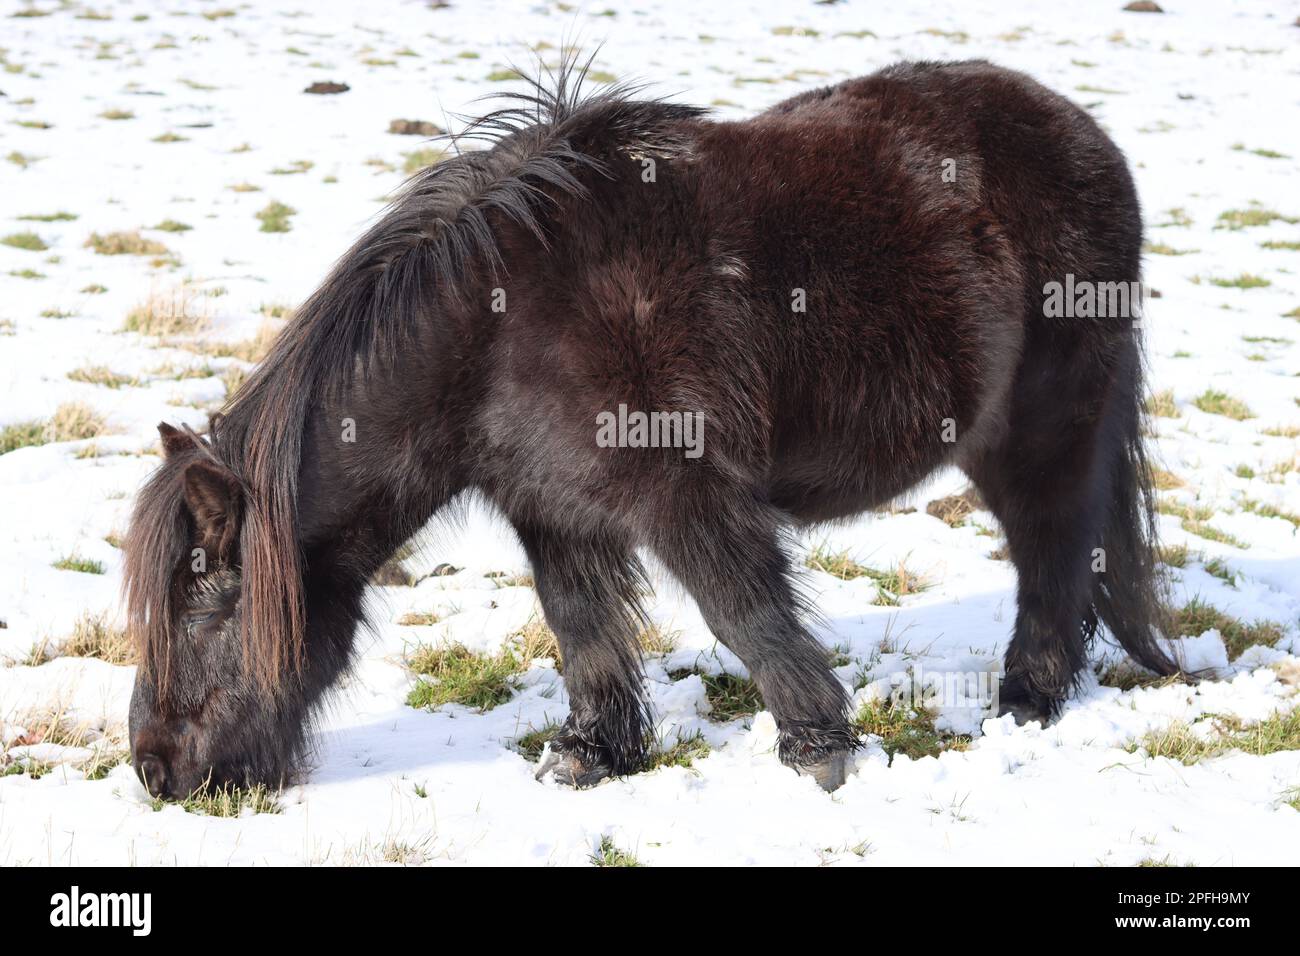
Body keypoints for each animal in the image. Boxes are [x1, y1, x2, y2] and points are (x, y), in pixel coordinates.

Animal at [122, 55, 1180, 796]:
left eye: (201, 609)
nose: (154, 771)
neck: (496, 330)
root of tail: (1088, 139)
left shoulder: (685, 494)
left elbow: (741, 610)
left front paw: (820, 756)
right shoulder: (551, 511)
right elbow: (581, 626)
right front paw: (590, 756)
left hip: (1042, 429)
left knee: (1052, 547)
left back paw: (1027, 700)